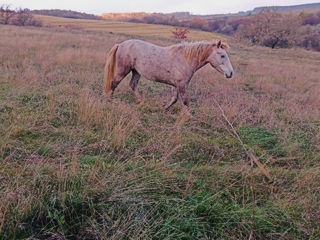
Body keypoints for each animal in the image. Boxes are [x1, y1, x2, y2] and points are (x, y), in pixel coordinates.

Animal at [104, 39, 234, 111]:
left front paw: (164, 108)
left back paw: (141, 102)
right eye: (222, 55)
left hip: (136, 72)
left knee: (132, 85)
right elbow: (185, 101)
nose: (231, 73)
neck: (185, 59)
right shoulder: (181, 85)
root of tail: (120, 44)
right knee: (114, 83)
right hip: (123, 70)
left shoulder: (176, 85)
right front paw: (190, 117)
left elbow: (174, 99)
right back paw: (110, 101)